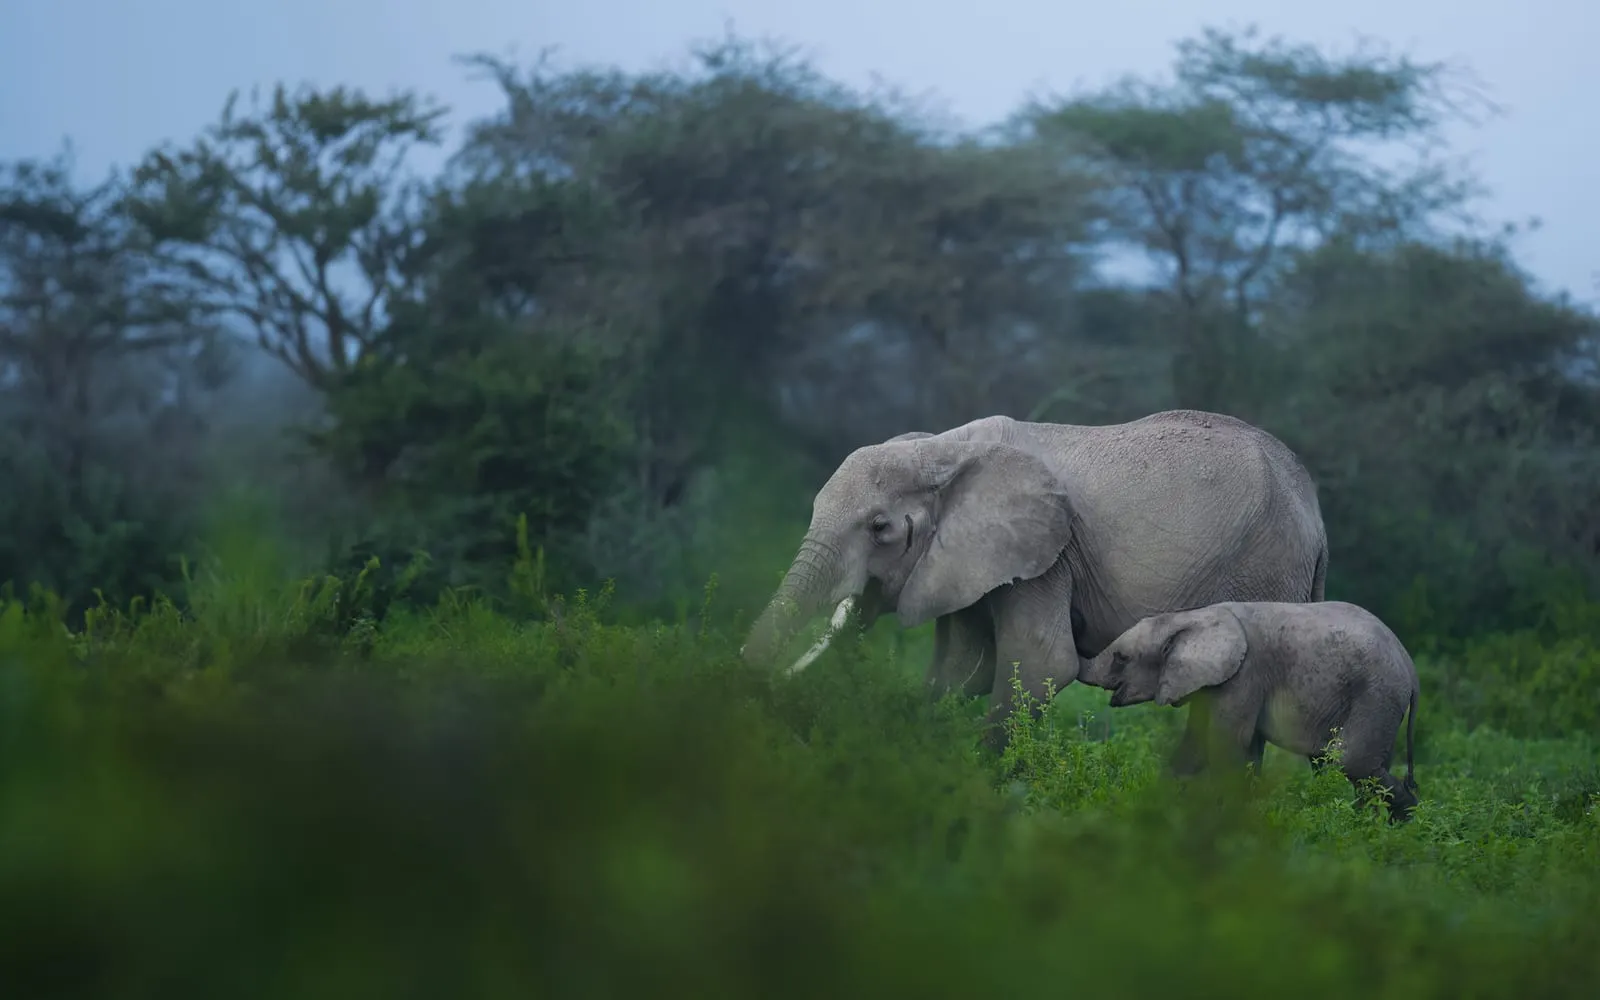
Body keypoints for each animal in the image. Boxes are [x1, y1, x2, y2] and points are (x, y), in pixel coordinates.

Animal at [739, 408, 1329, 758]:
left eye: (879, 528)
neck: (941, 450)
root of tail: (1318, 518)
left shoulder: (1046, 557)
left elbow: (1043, 663)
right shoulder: (965, 558)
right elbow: (961, 670)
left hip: (1266, 569)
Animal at [1075, 600, 1420, 822]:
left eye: (1120, 657)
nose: (1076, 620)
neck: (1192, 616)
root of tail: (1411, 668)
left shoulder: (1245, 674)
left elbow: (1224, 745)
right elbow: (1199, 744)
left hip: (1376, 694)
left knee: (1351, 762)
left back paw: (1401, 825)